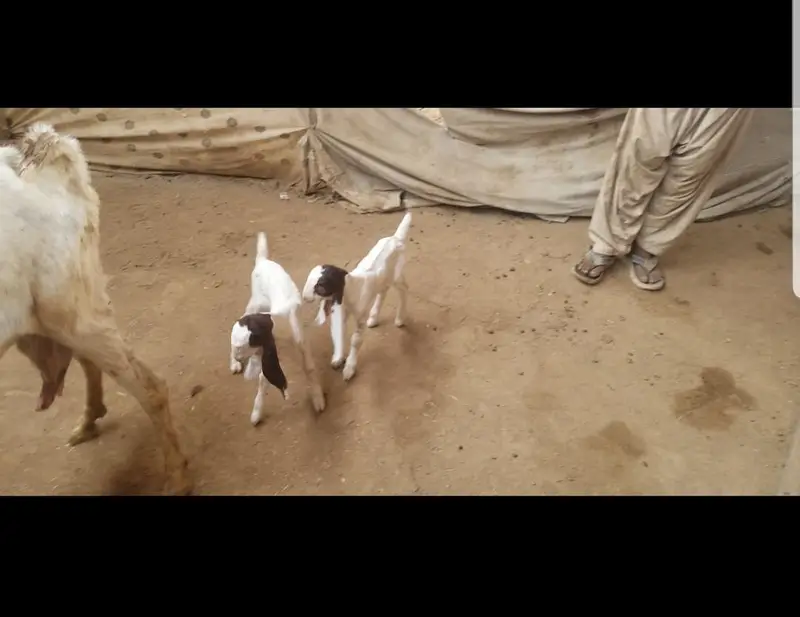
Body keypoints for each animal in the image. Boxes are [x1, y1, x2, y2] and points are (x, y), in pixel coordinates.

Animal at [230, 232, 326, 426]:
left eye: (242, 347)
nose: (237, 356)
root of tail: (262, 260)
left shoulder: (299, 344)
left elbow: (309, 368)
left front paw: (318, 399)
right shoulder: (268, 354)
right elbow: (263, 380)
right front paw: (257, 412)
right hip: (255, 303)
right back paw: (233, 364)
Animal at [301, 211, 411, 381]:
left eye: (320, 286)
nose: (305, 297)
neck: (349, 294)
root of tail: (396, 238)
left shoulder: (360, 318)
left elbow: (356, 340)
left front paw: (349, 369)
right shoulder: (341, 312)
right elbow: (339, 332)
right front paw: (338, 358)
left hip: (397, 275)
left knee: (403, 289)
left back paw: (400, 318)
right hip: (384, 278)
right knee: (383, 290)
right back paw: (373, 318)